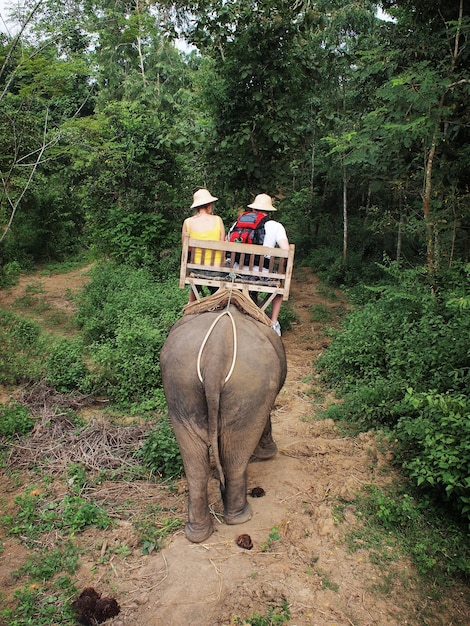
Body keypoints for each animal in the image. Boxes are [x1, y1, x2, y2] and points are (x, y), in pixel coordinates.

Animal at [161, 308, 286, 540]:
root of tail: (215, 358)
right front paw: (267, 454)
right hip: (250, 386)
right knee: (235, 458)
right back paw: (240, 517)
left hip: (179, 385)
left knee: (195, 464)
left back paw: (197, 533)